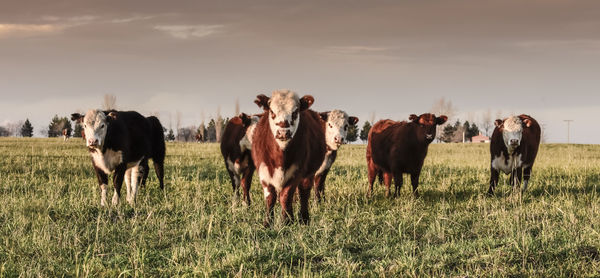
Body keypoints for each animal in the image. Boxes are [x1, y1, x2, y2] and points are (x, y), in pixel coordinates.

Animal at [253, 89, 328, 226]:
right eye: (272, 111)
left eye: (295, 112)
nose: (283, 132)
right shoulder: (264, 172)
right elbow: (270, 197)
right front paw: (267, 223)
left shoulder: (296, 172)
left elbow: (286, 196)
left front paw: (286, 221)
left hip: (308, 174)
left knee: (304, 193)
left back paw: (304, 219)